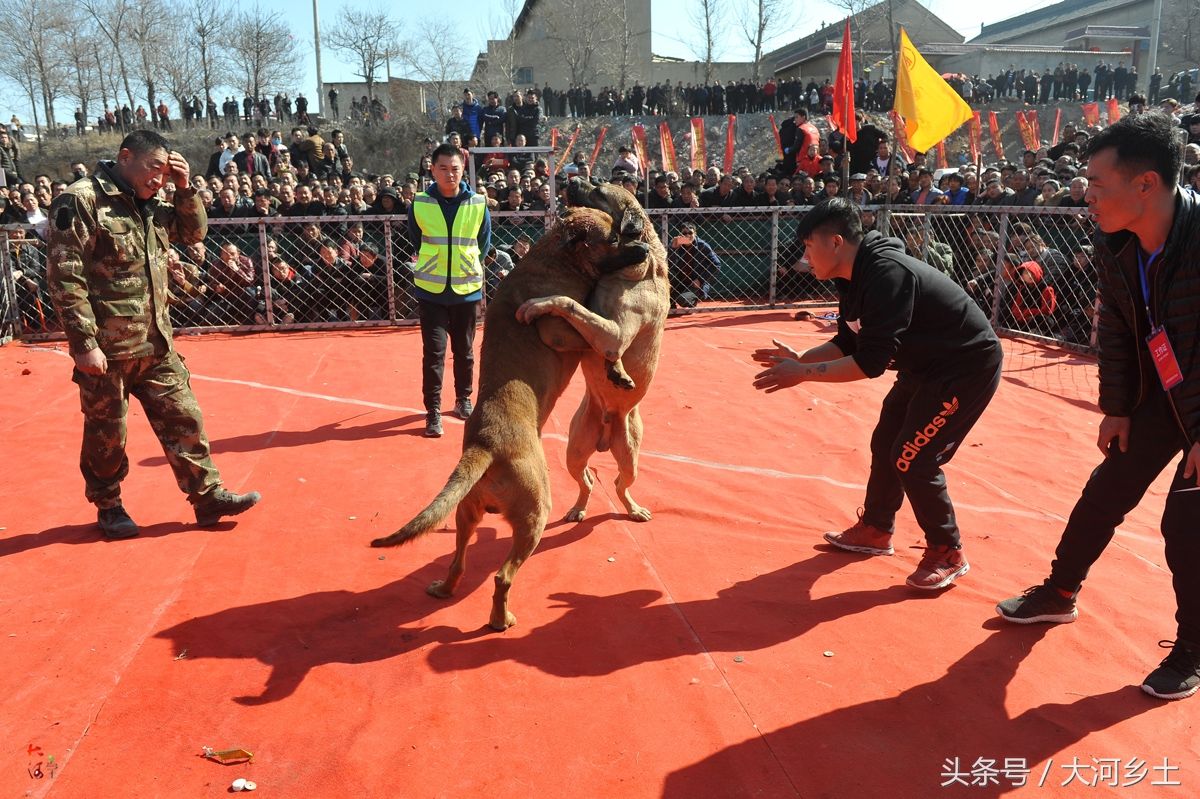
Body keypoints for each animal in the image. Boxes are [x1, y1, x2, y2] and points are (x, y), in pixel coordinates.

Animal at [369, 205, 648, 628]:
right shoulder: (558, 330)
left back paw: (445, 589)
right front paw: (617, 370)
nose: (646, 248)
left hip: (466, 514)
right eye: (613, 238)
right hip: (534, 515)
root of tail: (484, 445)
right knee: (502, 576)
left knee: (459, 560)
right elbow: (599, 344)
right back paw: (501, 620)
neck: (558, 257)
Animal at [516, 178, 672, 523]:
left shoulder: (614, 334)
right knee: (586, 479)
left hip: (630, 459)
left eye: (599, 191)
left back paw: (634, 509)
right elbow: (580, 310)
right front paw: (615, 371)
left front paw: (537, 304)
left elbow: (565, 301)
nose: (570, 179)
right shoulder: (602, 324)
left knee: (618, 484)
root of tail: (605, 435)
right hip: (574, 449)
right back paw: (577, 507)